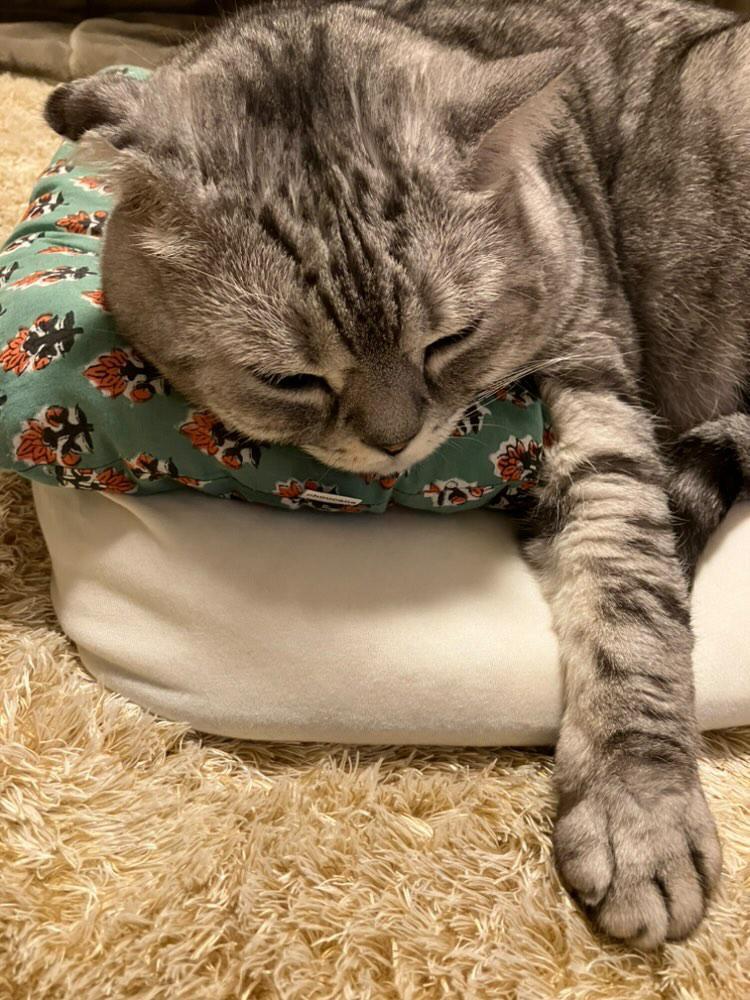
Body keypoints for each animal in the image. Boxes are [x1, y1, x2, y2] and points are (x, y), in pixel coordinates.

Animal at [44, 0, 750, 948]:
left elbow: (631, 597)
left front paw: (639, 808)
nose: (396, 440)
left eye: (451, 340)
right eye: (288, 379)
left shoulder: (593, 376)